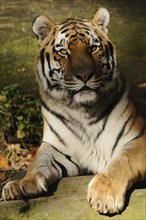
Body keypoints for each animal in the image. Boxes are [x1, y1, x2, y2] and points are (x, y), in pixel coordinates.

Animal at [1, 7, 145, 214]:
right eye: (64, 52)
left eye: (92, 48)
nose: (85, 75)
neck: (84, 111)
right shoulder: (55, 148)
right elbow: (37, 164)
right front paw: (20, 185)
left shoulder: (137, 139)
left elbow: (122, 162)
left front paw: (104, 194)